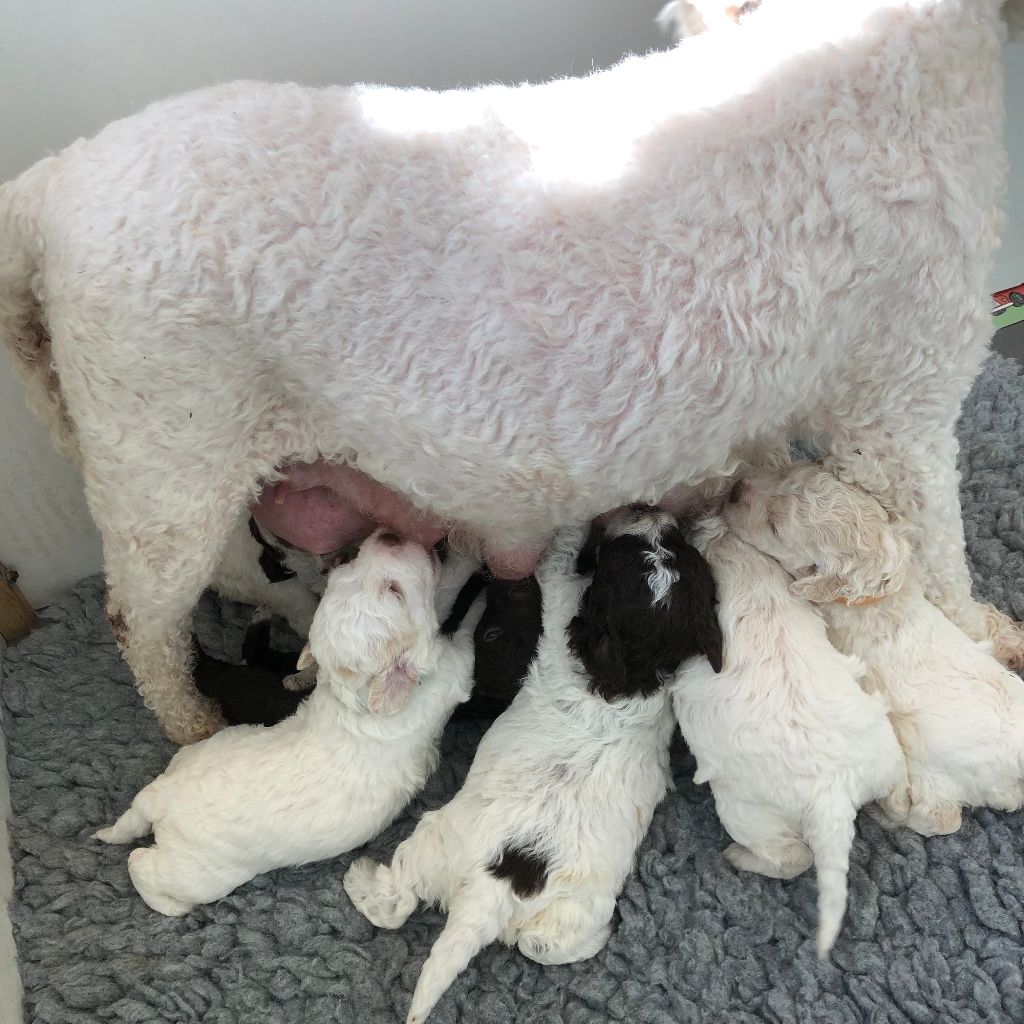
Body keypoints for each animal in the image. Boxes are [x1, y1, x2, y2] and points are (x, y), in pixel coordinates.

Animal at [0, 0, 1019, 741]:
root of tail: (47, 187)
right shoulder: (904, 388)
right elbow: (934, 548)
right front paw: (984, 638)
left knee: (230, 574)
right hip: (163, 451)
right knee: (142, 619)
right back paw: (192, 722)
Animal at [96, 532, 479, 917]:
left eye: (348, 567)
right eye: (395, 591)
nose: (391, 534)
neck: (353, 697)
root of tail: (157, 800)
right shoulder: (450, 671)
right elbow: (452, 614)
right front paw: (471, 573)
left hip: (198, 753)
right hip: (195, 873)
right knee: (139, 863)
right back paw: (168, 903)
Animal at [342, 509, 720, 1024]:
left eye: (614, 559)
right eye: (679, 549)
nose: (650, 509)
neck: (635, 671)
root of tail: (490, 896)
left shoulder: (559, 597)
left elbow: (558, 556)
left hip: (429, 839)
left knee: (399, 897)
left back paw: (359, 879)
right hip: (571, 911)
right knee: (539, 945)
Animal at [671, 516, 905, 954]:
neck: (753, 579)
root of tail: (833, 796)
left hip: (747, 811)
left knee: (793, 856)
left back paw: (738, 857)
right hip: (885, 752)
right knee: (897, 788)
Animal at [724, 460, 1024, 835]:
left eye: (775, 526)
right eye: (787, 473)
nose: (734, 490)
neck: (874, 594)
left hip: (942, 772)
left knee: (941, 816)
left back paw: (892, 811)